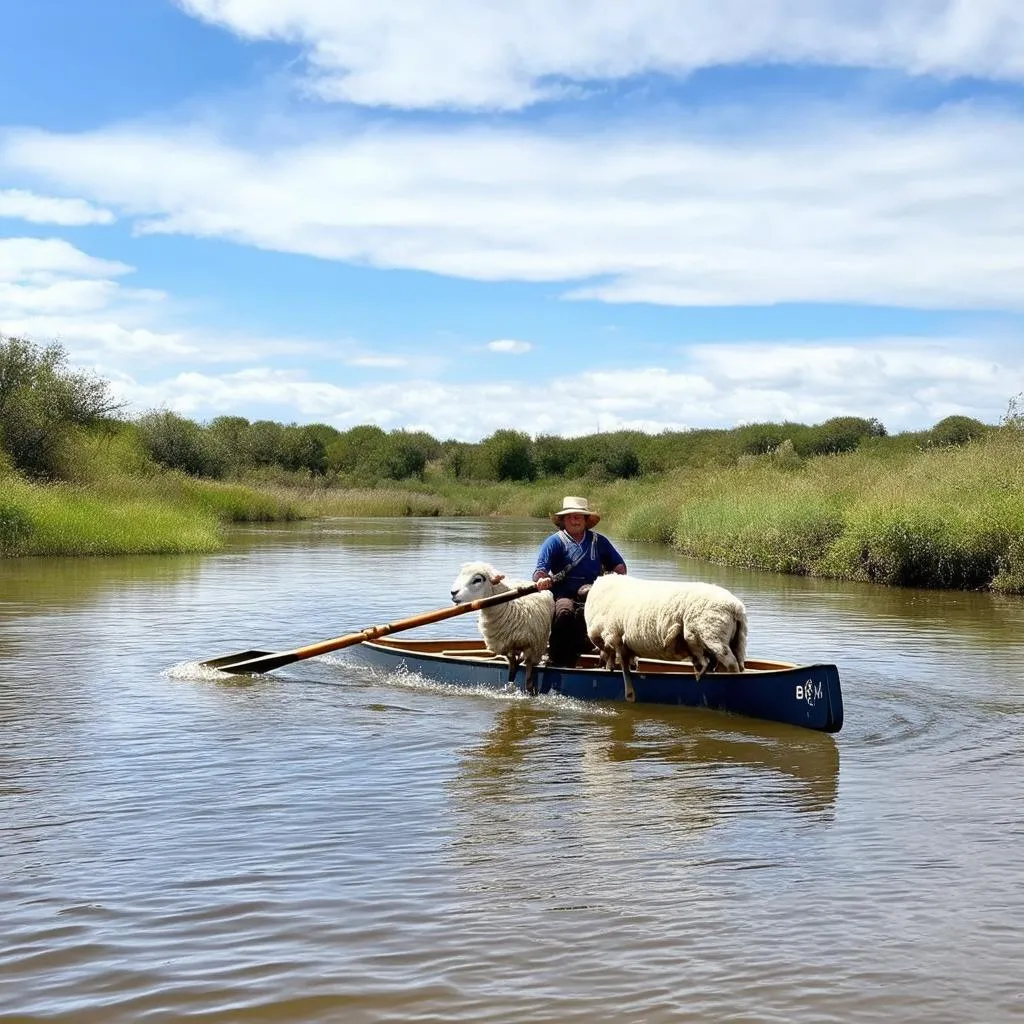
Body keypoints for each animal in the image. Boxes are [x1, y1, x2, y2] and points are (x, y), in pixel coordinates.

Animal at [450, 561, 557, 696]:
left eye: (477, 580)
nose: (453, 592)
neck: (508, 606)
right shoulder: (504, 645)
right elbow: (511, 665)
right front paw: (512, 676)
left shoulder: (532, 647)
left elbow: (528, 678)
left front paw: (529, 690)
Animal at [585, 577, 745, 704]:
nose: (600, 663)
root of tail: (736, 608)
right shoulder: (619, 641)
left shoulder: (614, 635)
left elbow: (622, 665)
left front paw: (628, 692)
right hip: (733, 640)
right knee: (727, 663)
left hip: (713, 635)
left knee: (731, 665)